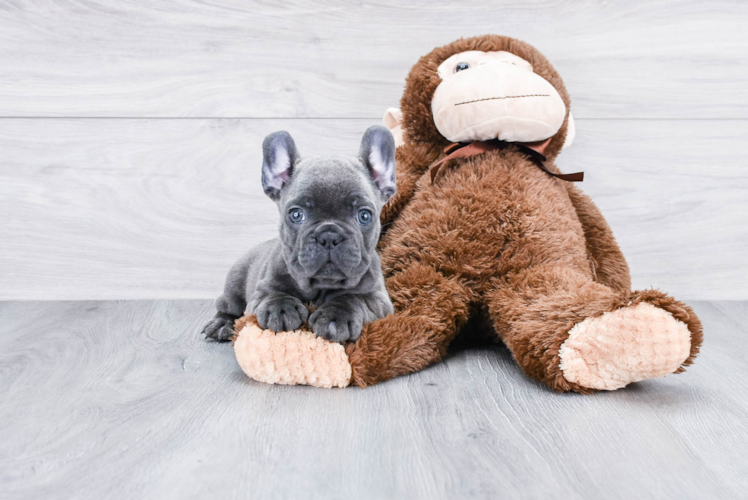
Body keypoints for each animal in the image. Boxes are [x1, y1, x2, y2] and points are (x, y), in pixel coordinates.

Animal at [202, 125, 394, 344]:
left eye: (364, 216)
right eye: (296, 214)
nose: (329, 236)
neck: (320, 286)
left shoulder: (378, 299)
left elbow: (353, 298)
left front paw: (336, 315)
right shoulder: (261, 290)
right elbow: (272, 293)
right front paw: (280, 309)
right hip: (235, 284)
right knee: (227, 306)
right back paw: (221, 324)